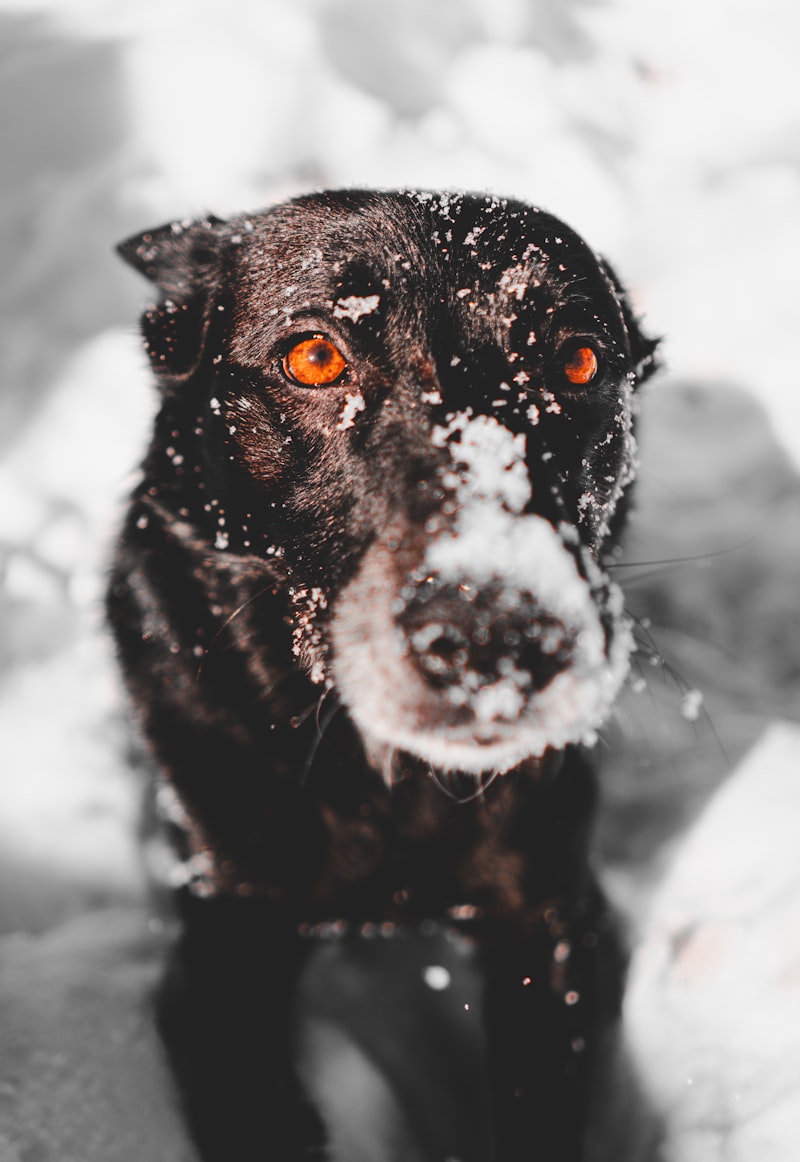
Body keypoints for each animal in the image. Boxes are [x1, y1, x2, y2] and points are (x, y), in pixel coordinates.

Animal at [107, 185, 655, 1157]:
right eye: (316, 356)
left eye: (579, 361)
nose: (495, 637)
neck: (380, 782)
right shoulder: (221, 939)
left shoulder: (552, 918)